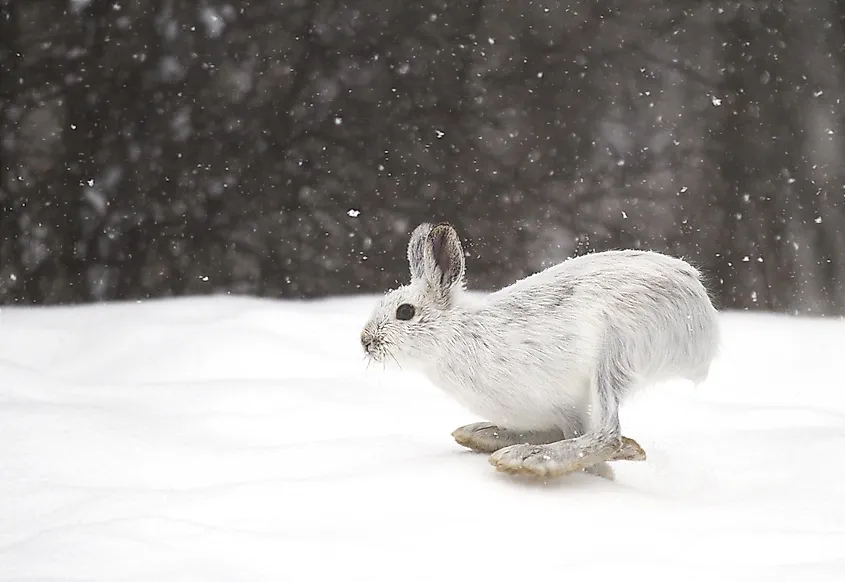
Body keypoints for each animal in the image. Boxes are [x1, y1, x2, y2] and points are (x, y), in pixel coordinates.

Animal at [360, 222, 720, 478]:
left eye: (405, 312)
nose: (366, 341)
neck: (456, 332)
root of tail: (703, 315)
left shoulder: (565, 405)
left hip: (615, 354)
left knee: (607, 433)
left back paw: (524, 459)